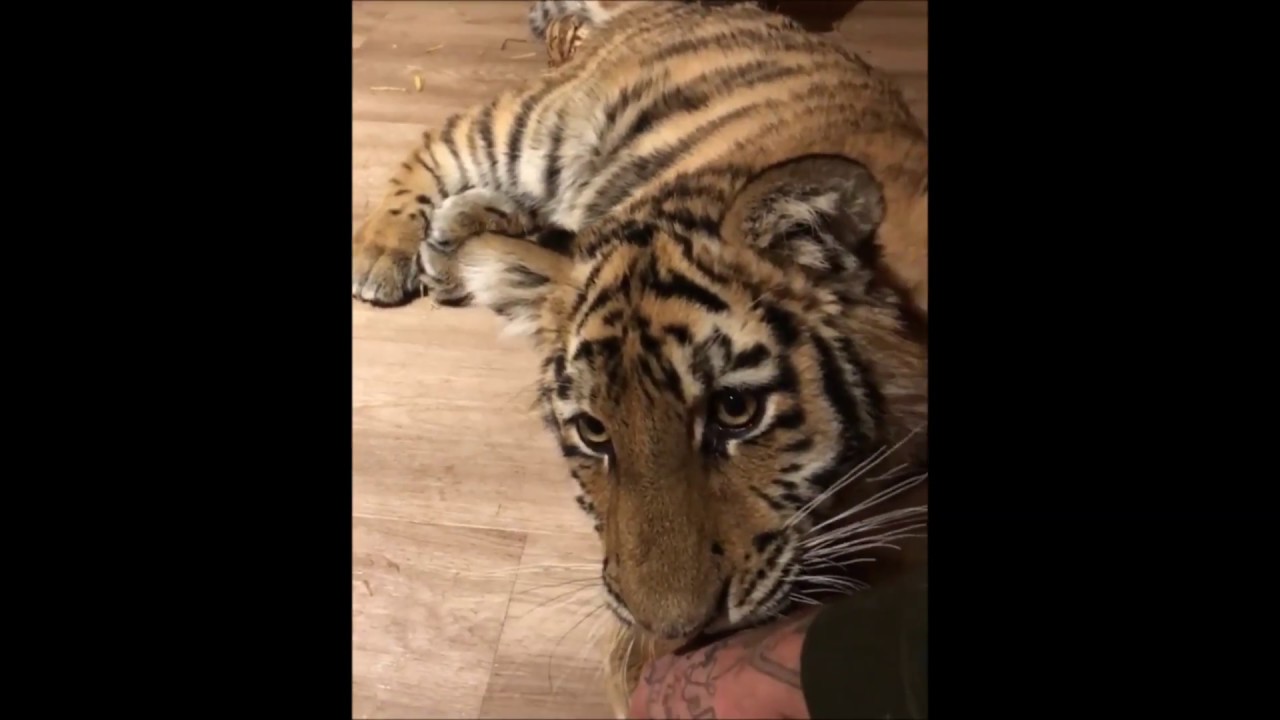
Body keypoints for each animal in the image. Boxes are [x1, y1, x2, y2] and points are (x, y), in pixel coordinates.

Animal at [351, 1, 928, 715]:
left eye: (735, 410)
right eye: (594, 432)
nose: (677, 630)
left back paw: (460, 244)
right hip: (536, 127)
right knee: (437, 142)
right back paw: (391, 250)